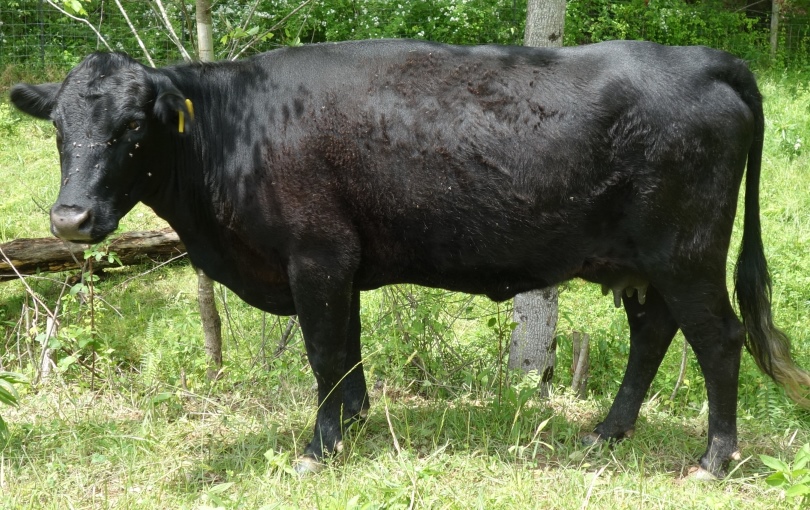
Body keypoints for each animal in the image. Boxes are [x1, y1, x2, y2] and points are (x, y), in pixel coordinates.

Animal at [9, 39, 810, 478]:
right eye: (58, 129)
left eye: (133, 128)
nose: (70, 218)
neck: (236, 131)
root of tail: (707, 61)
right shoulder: (342, 265)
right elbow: (349, 351)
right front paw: (356, 422)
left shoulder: (317, 258)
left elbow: (325, 353)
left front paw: (320, 445)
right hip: (643, 264)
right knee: (653, 335)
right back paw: (607, 432)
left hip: (686, 254)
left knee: (719, 339)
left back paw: (712, 460)